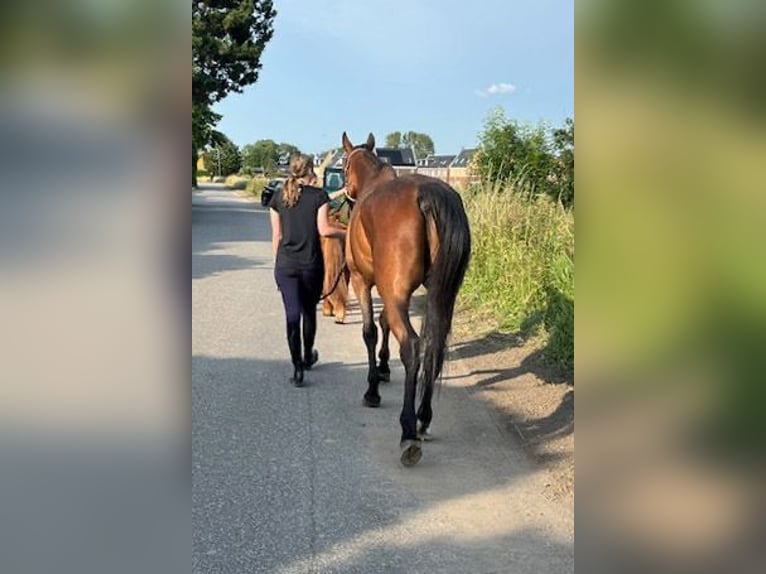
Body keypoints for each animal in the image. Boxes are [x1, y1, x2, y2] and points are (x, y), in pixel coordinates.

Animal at [344, 132, 474, 468]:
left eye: (344, 164)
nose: (346, 193)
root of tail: (428, 194)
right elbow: (384, 323)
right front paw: (384, 368)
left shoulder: (363, 282)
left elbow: (370, 330)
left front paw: (373, 388)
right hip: (443, 293)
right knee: (433, 346)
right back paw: (423, 418)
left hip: (393, 292)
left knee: (413, 346)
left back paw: (408, 431)